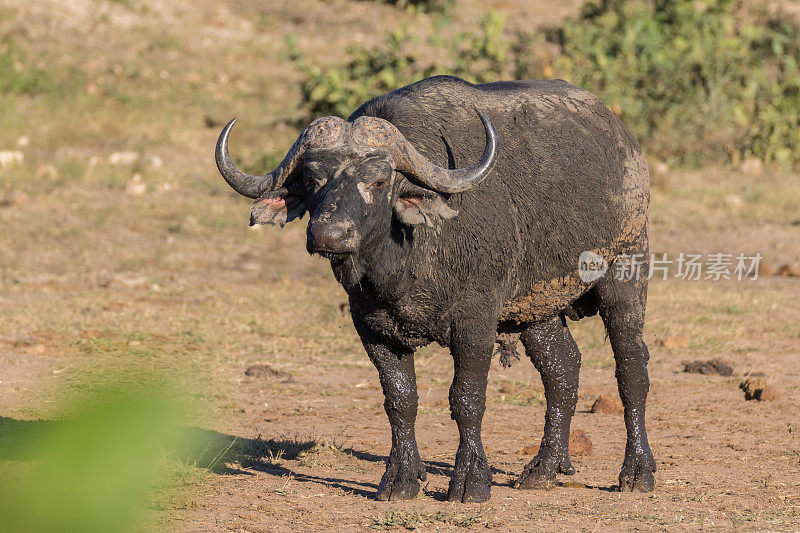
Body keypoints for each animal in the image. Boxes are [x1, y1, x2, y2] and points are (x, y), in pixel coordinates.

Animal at [216, 76, 652, 502]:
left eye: (379, 179)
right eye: (311, 179)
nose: (330, 234)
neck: (404, 261)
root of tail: (624, 142)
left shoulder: (476, 321)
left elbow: (467, 398)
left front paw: (471, 481)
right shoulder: (371, 327)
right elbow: (400, 400)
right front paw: (401, 479)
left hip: (625, 272)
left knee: (631, 369)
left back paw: (637, 472)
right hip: (536, 308)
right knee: (563, 369)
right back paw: (543, 469)